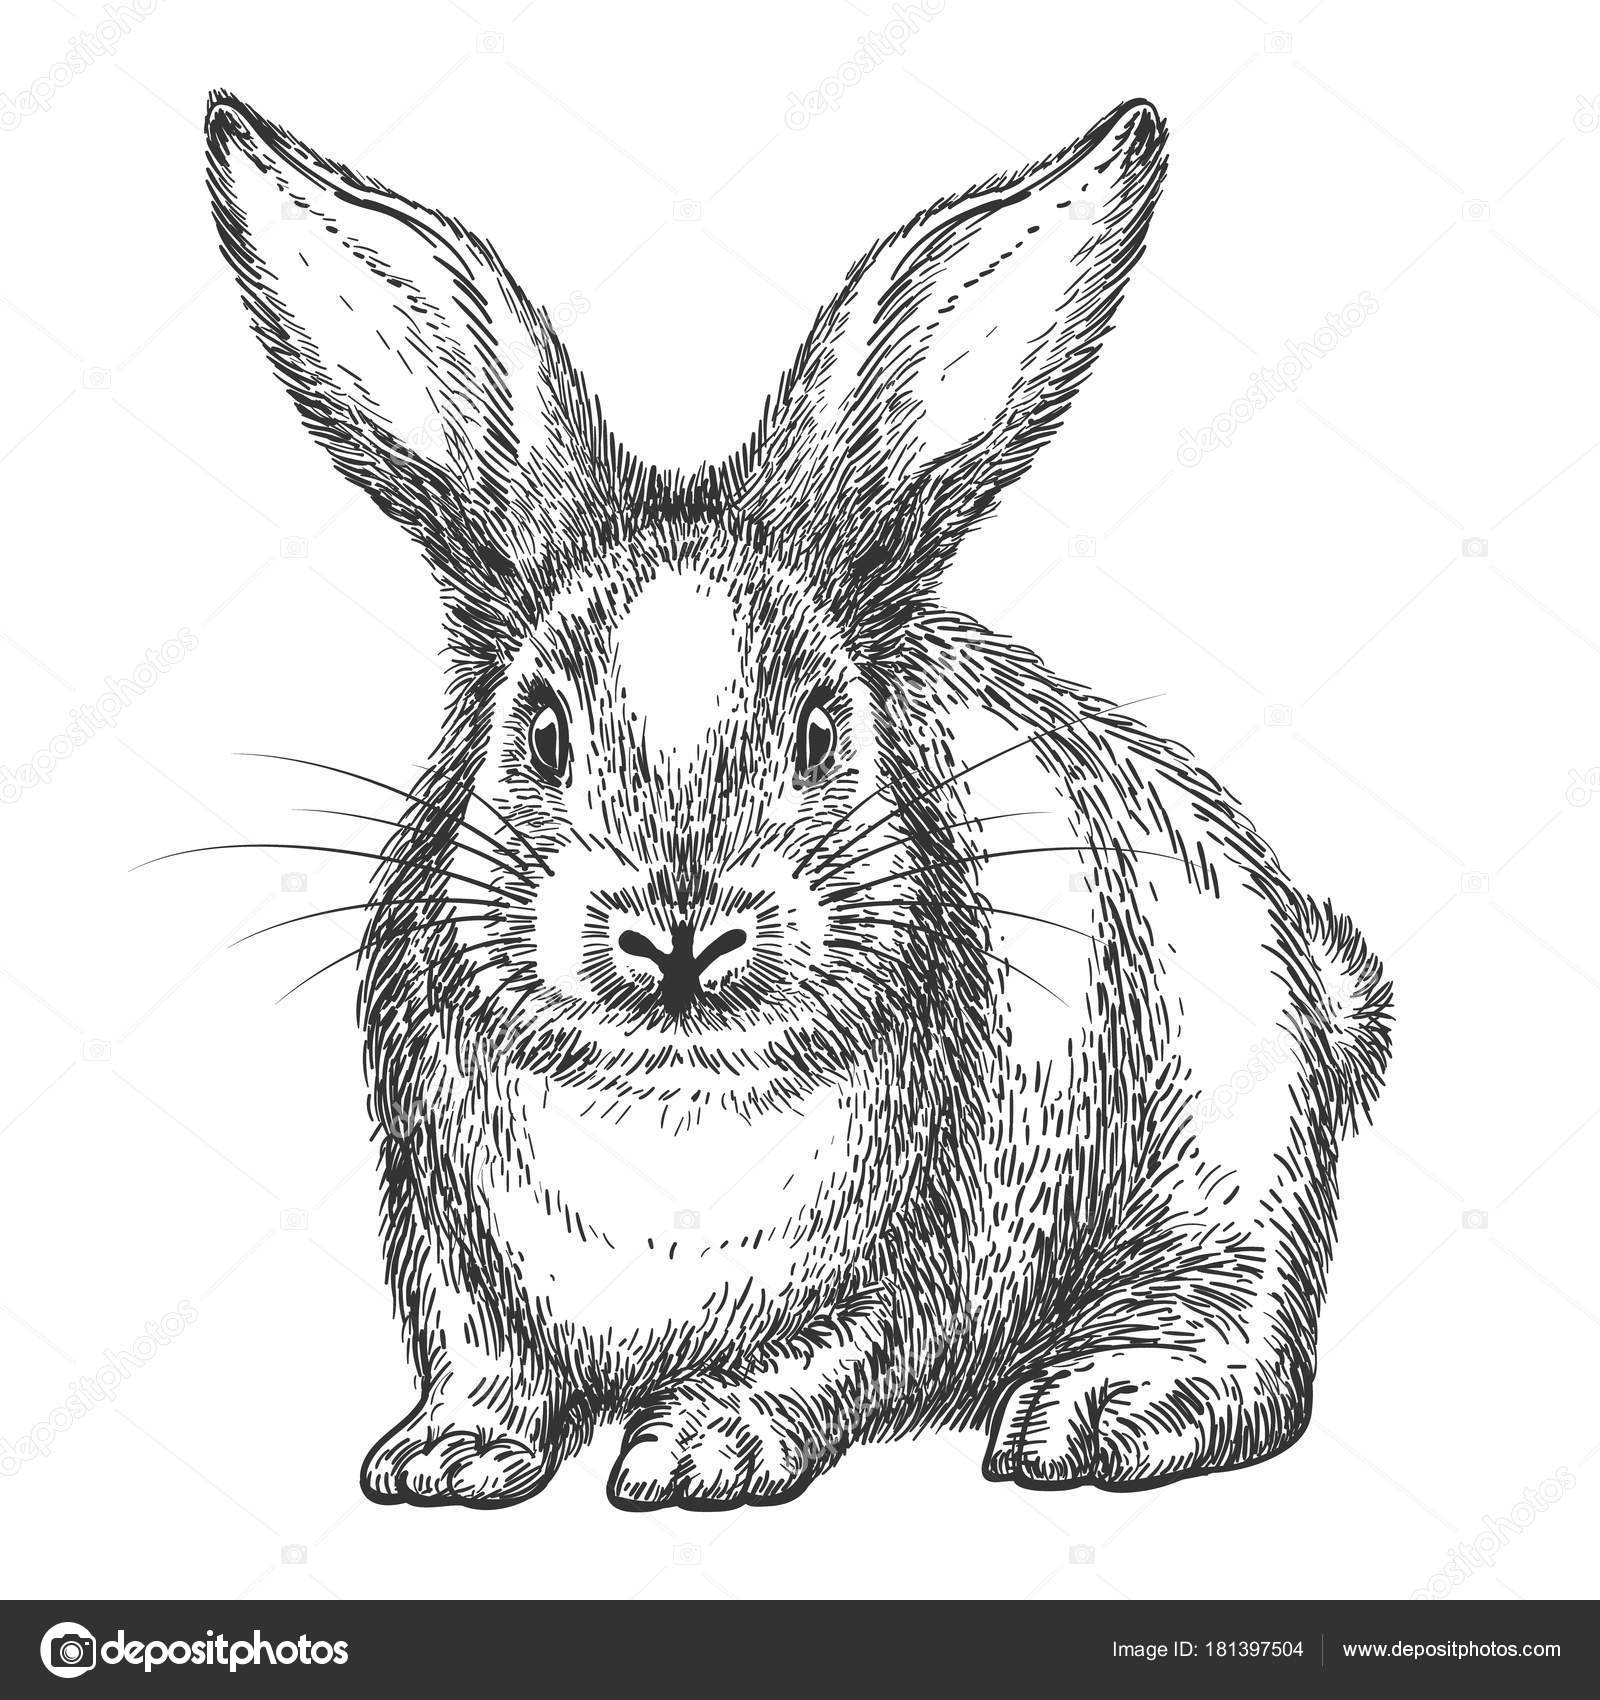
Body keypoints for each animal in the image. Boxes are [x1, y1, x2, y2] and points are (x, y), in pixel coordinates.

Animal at [205, 89, 1392, 1511]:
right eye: (540, 730)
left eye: (823, 729)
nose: (680, 933)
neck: (669, 1097)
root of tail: (1326, 997)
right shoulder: (447, 1240)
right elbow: (480, 1356)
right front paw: (445, 1456)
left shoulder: (912, 1266)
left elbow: (820, 1359)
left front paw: (694, 1451)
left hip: (1230, 1159)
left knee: (1242, 1329)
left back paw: (1098, 1413)